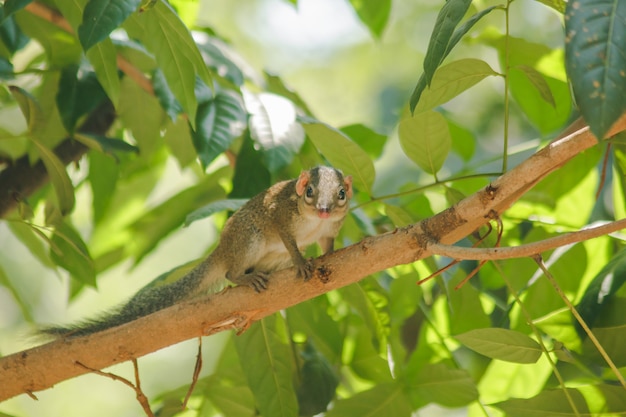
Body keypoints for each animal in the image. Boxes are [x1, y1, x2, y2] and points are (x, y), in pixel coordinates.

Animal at [42, 165, 352, 334]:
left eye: (341, 194)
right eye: (309, 192)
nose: (324, 210)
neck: (315, 221)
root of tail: (222, 250)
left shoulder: (330, 229)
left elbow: (327, 243)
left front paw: (328, 255)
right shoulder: (281, 216)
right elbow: (289, 240)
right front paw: (300, 261)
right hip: (248, 239)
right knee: (229, 274)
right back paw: (245, 277)